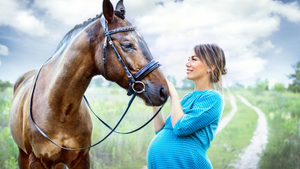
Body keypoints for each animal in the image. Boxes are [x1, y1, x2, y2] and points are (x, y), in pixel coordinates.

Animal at [9, 0, 169, 168]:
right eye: (127, 45)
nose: (163, 91)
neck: (59, 108)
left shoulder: (82, 158)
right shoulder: (37, 160)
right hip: (23, 155)